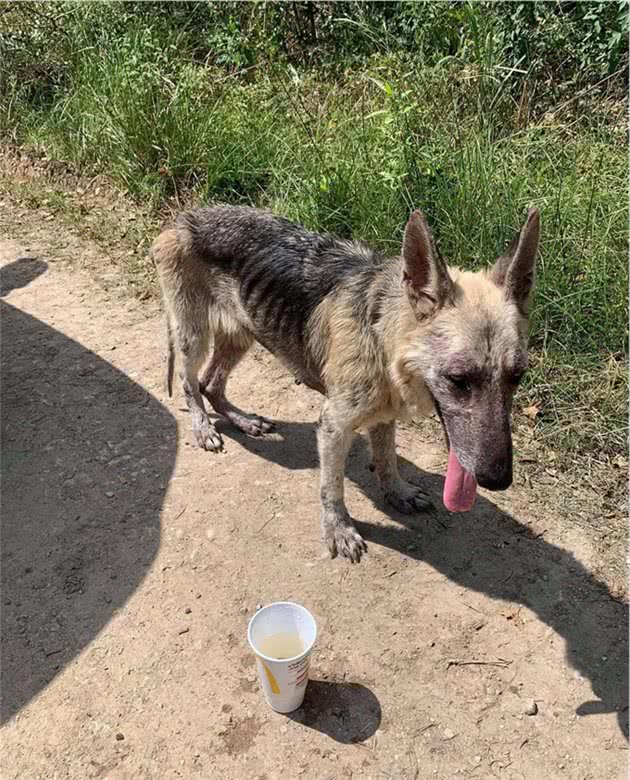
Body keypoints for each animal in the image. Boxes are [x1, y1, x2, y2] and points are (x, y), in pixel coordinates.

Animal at [154, 206, 544, 560]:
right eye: (458, 379)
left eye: (517, 377)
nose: (498, 480)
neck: (382, 336)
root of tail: (185, 218)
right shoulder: (333, 428)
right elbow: (332, 488)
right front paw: (338, 529)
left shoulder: (384, 416)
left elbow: (386, 460)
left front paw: (397, 492)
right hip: (194, 337)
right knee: (191, 383)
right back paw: (203, 427)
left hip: (241, 334)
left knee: (211, 384)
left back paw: (243, 420)